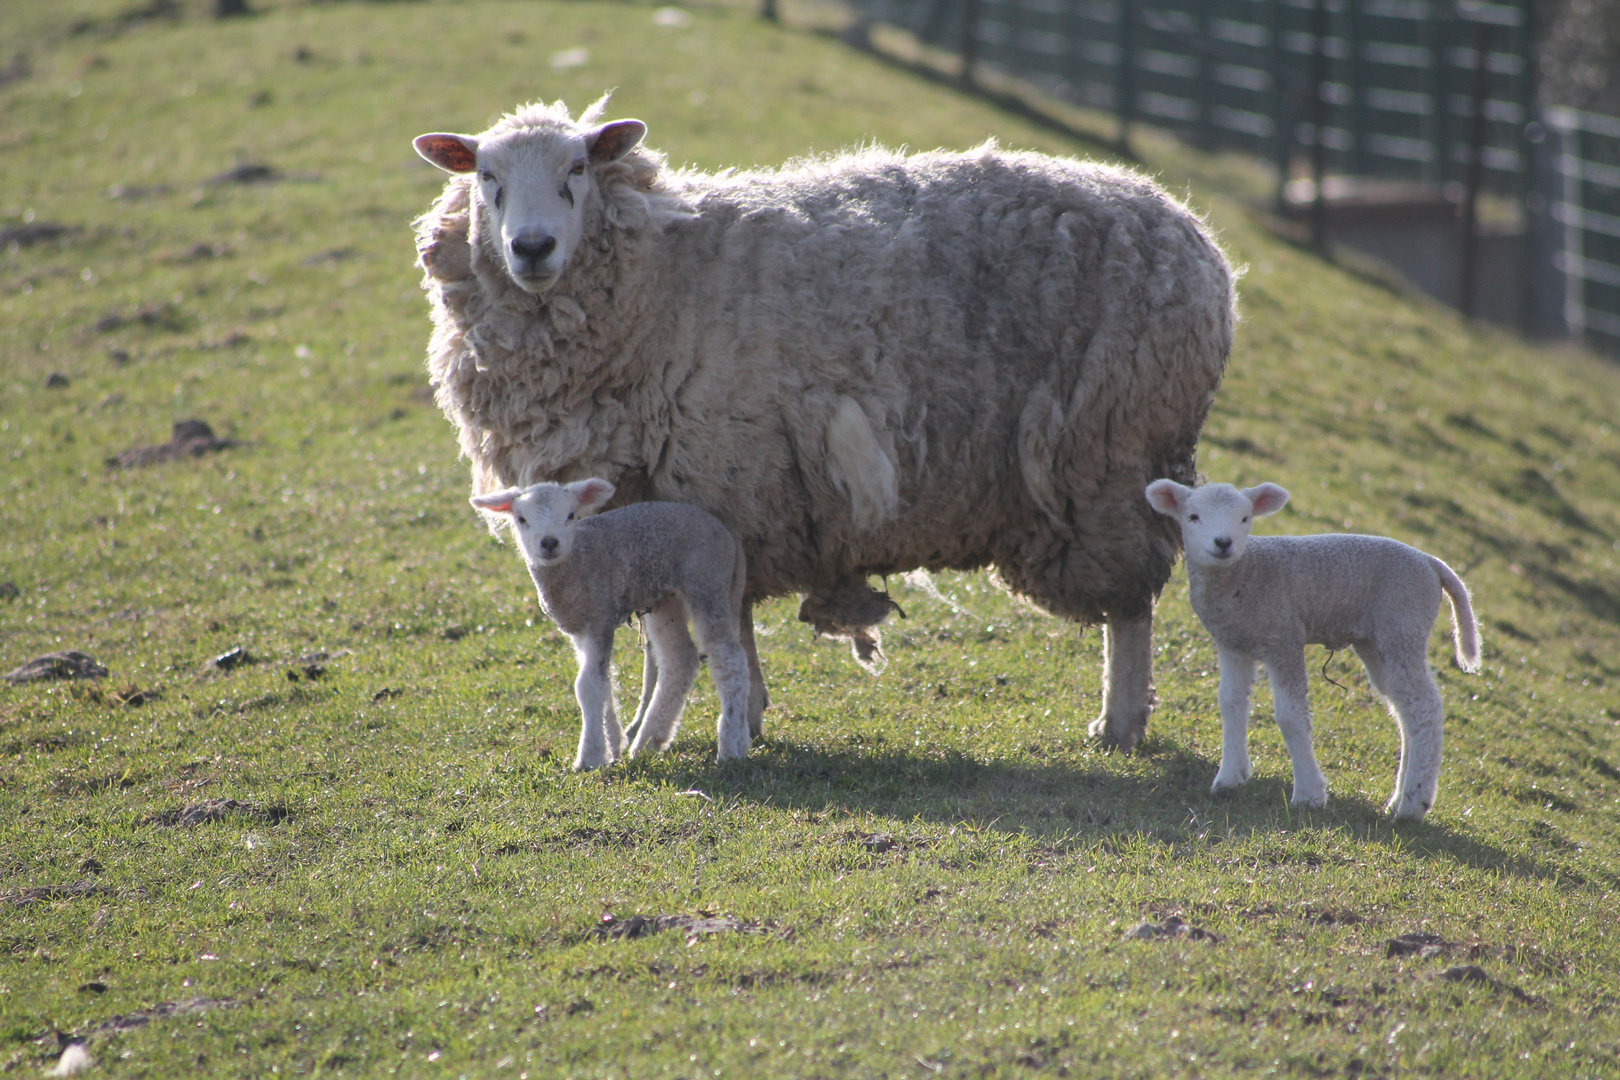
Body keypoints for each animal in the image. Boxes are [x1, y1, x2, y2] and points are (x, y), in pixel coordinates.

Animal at [466, 479, 748, 767]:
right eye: (521, 519)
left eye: (571, 515)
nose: (549, 542)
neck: (577, 564)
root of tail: (724, 531)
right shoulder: (581, 628)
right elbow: (603, 682)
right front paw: (612, 743)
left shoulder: (599, 618)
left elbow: (588, 685)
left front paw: (589, 756)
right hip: (665, 598)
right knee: (680, 658)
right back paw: (648, 742)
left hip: (707, 580)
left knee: (729, 660)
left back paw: (730, 746)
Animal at [1146, 476, 1477, 822]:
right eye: (1193, 517)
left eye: (1245, 518)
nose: (1223, 543)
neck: (1244, 572)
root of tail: (1430, 563)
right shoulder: (1233, 643)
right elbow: (1231, 704)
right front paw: (1229, 779)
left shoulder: (1284, 638)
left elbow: (1290, 716)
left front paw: (1309, 795)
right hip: (1377, 639)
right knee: (1405, 708)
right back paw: (1399, 799)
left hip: (1403, 623)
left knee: (1423, 707)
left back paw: (1413, 805)